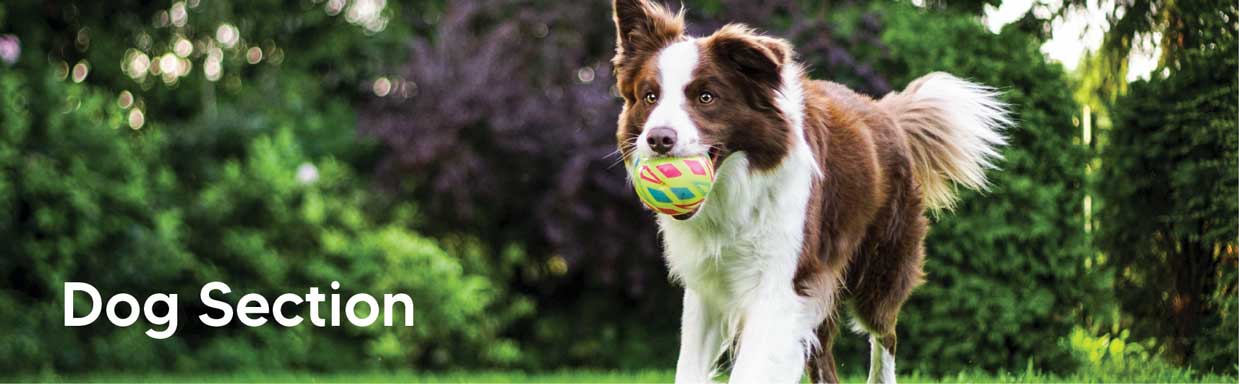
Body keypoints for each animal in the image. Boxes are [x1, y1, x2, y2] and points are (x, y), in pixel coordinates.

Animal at [614, 1, 1011, 381]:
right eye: (649, 96)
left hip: (879, 268)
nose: (658, 139)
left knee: (885, 334)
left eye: (706, 97)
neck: (735, 191)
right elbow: (689, 367)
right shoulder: (707, 287)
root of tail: (886, 112)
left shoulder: (781, 283)